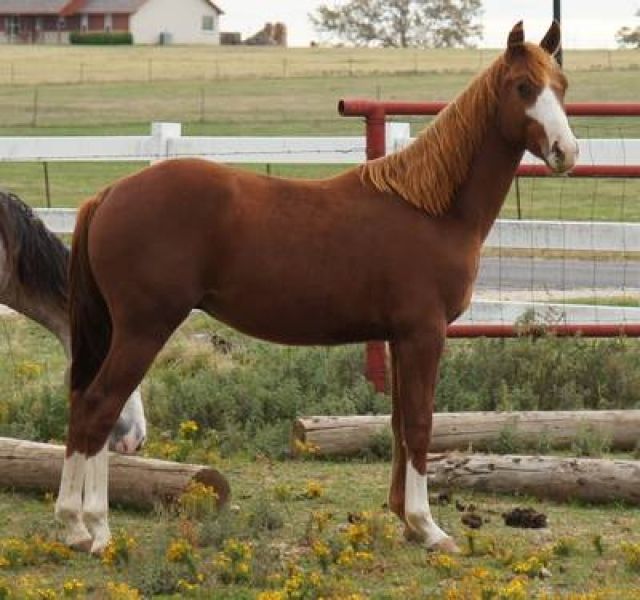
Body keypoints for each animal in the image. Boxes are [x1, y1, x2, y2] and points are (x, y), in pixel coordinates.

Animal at [56, 21, 578, 555]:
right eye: (523, 87)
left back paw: (74, 525)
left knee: (83, 406)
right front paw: (428, 527)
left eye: (561, 86)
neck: (433, 210)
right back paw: (95, 528)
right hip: (144, 328)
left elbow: (398, 424)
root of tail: (109, 194)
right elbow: (421, 425)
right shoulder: (424, 335)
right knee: (99, 407)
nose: (566, 152)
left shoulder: (398, 339)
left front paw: (406, 520)